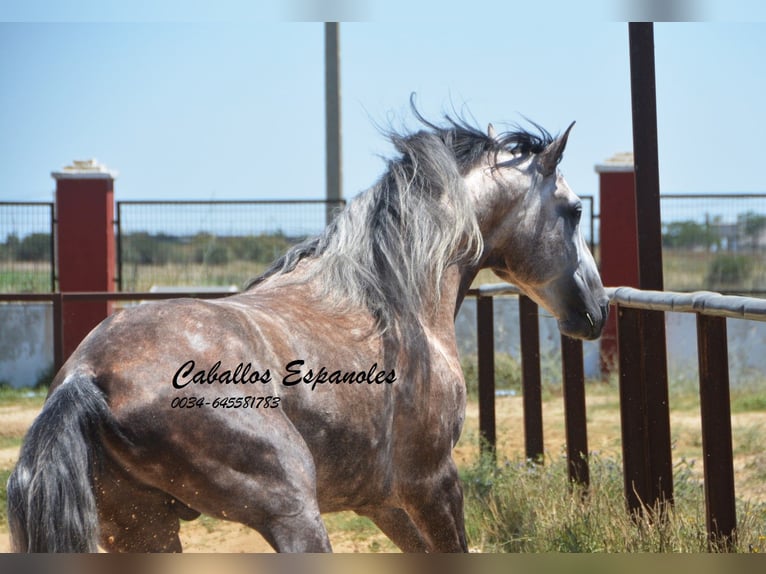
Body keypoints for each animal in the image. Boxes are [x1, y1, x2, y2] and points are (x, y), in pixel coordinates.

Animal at [4, 108, 608, 552]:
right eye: (575, 211)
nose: (598, 308)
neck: (392, 302)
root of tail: (86, 377)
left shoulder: (383, 502)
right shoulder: (433, 483)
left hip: (142, 528)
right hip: (294, 515)